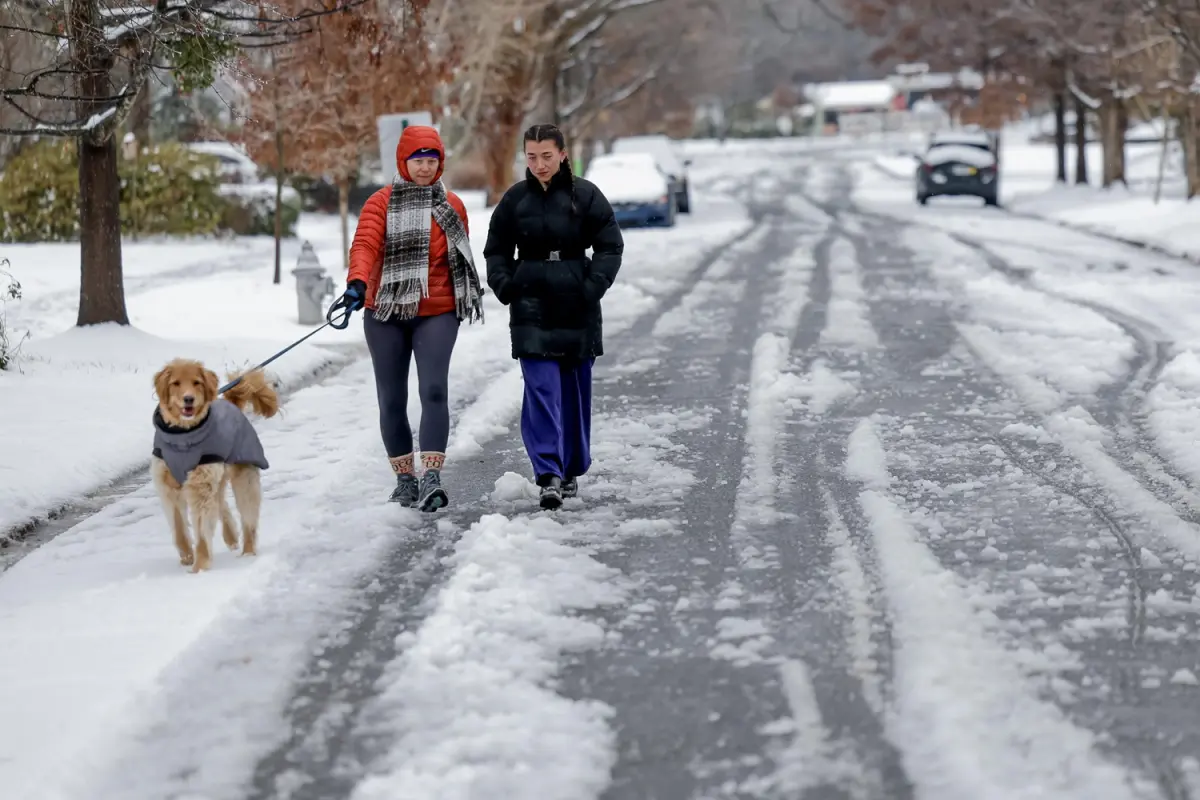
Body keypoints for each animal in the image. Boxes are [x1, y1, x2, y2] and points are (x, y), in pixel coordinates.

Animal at [149, 359, 278, 573]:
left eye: (197, 382)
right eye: (175, 383)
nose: (188, 399)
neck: (183, 438)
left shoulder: (200, 483)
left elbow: (202, 529)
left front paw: (200, 566)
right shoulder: (168, 484)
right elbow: (179, 527)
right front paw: (187, 556)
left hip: (243, 476)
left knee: (247, 518)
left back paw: (247, 553)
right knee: (221, 503)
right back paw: (231, 536)